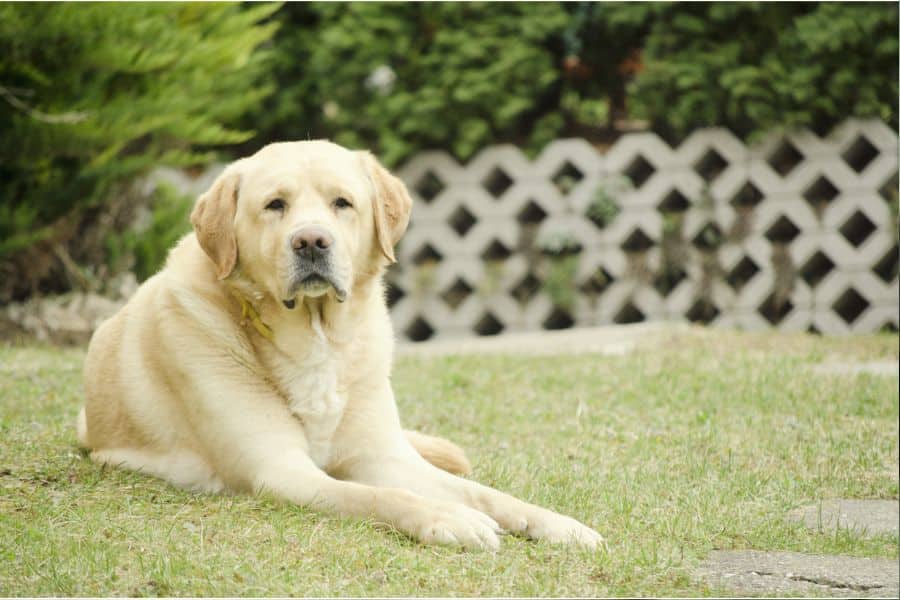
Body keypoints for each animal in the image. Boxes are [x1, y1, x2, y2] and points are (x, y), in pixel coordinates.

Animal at [81, 139, 604, 548]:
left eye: (342, 203)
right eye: (275, 205)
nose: (312, 241)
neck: (317, 339)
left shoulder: (383, 456)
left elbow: (484, 492)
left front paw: (557, 524)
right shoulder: (281, 470)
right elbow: (379, 495)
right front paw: (446, 518)